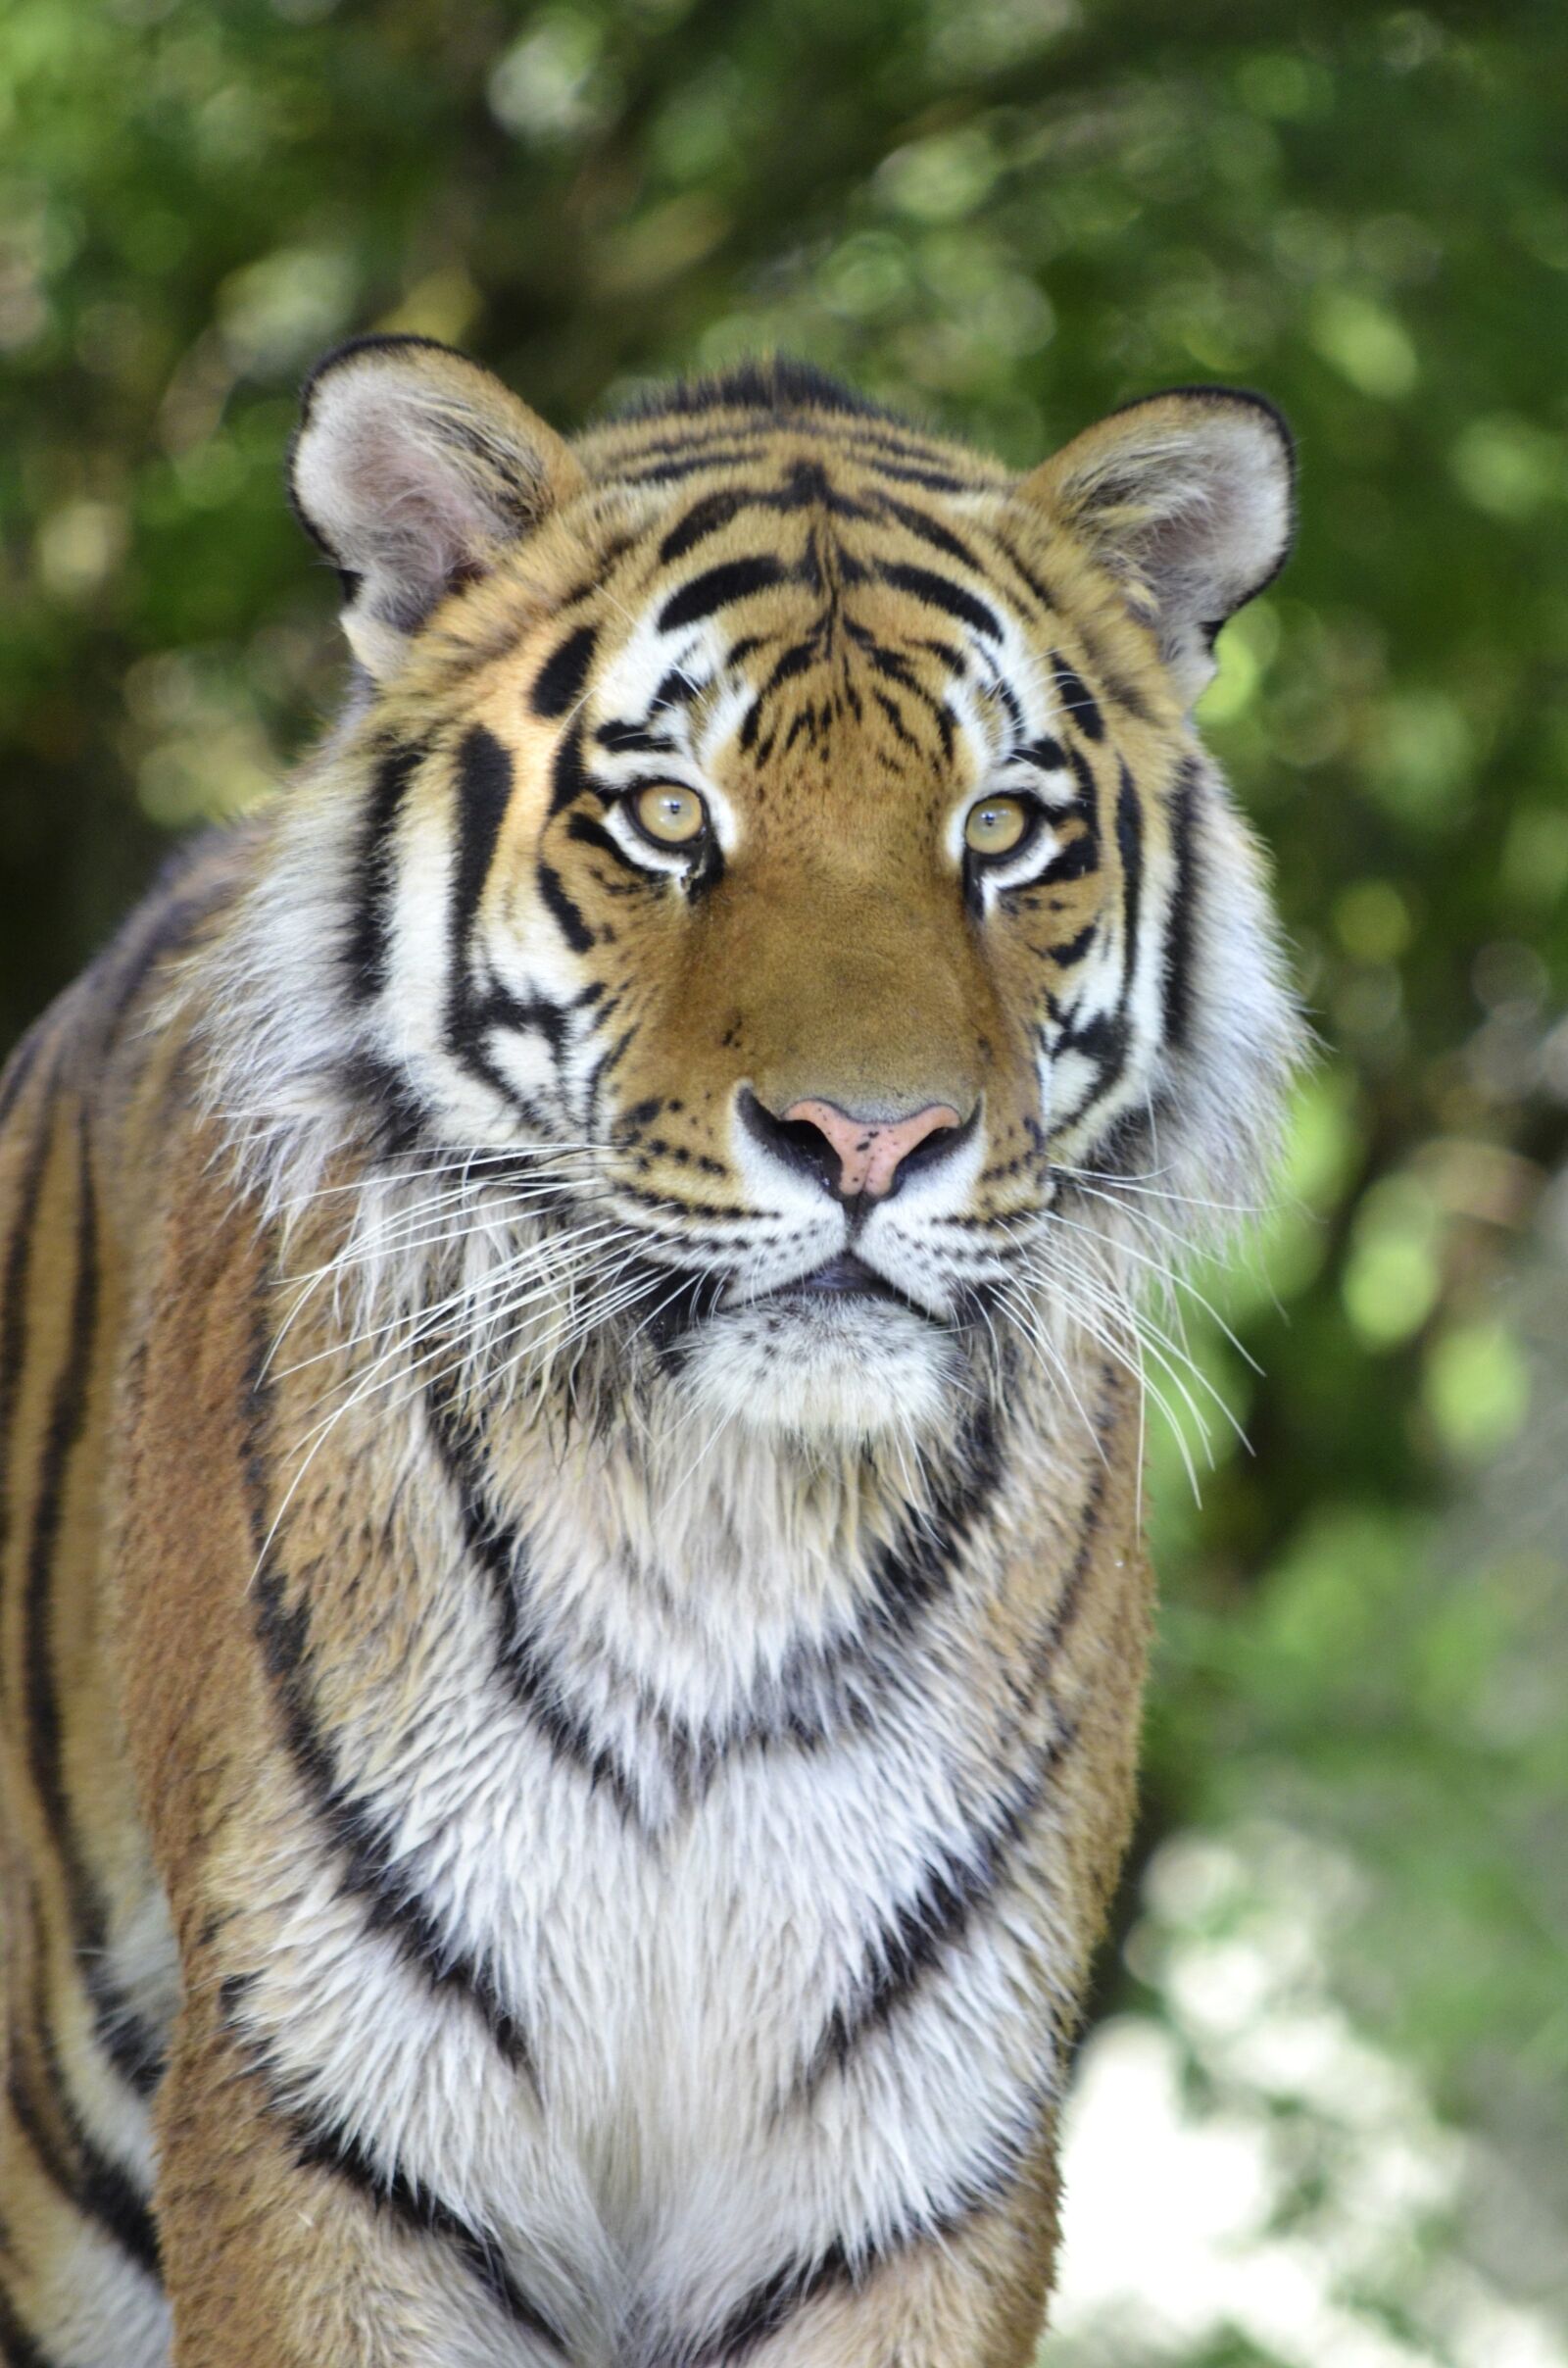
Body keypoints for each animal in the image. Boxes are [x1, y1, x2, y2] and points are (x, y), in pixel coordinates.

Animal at [0, 336, 1301, 2368]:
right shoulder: (334, 2121)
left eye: (1001, 831)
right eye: (671, 819)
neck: (716, 1516)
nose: (870, 1140)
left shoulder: (910, 2148)